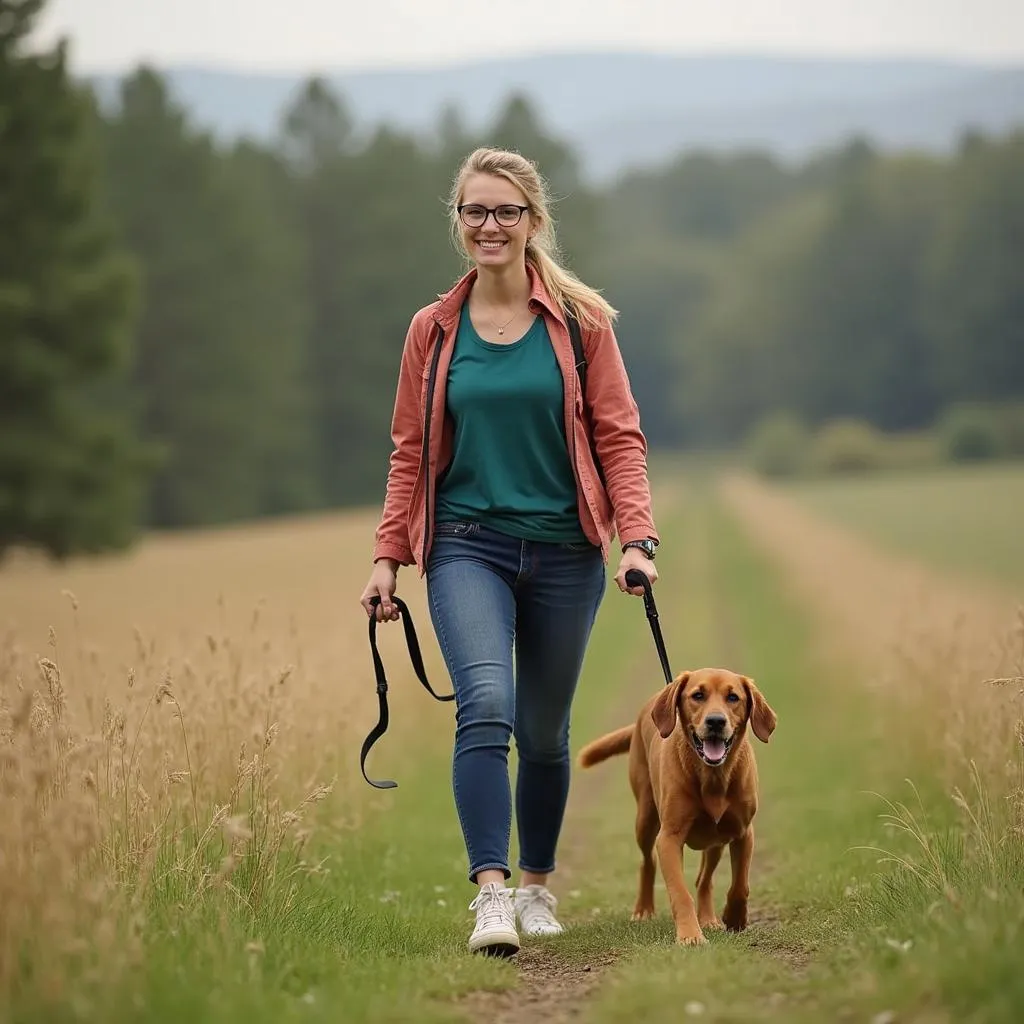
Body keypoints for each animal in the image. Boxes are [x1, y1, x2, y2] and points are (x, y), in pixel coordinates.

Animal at [577, 667, 774, 946]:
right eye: (698, 695)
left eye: (733, 697)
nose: (716, 721)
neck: (712, 777)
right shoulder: (669, 838)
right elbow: (680, 892)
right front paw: (690, 935)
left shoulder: (743, 832)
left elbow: (740, 885)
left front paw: (734, 918)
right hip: (645, 819)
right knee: (648, 862)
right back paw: (644, 910)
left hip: (717, 840)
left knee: (704, 879)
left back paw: (709, 918)